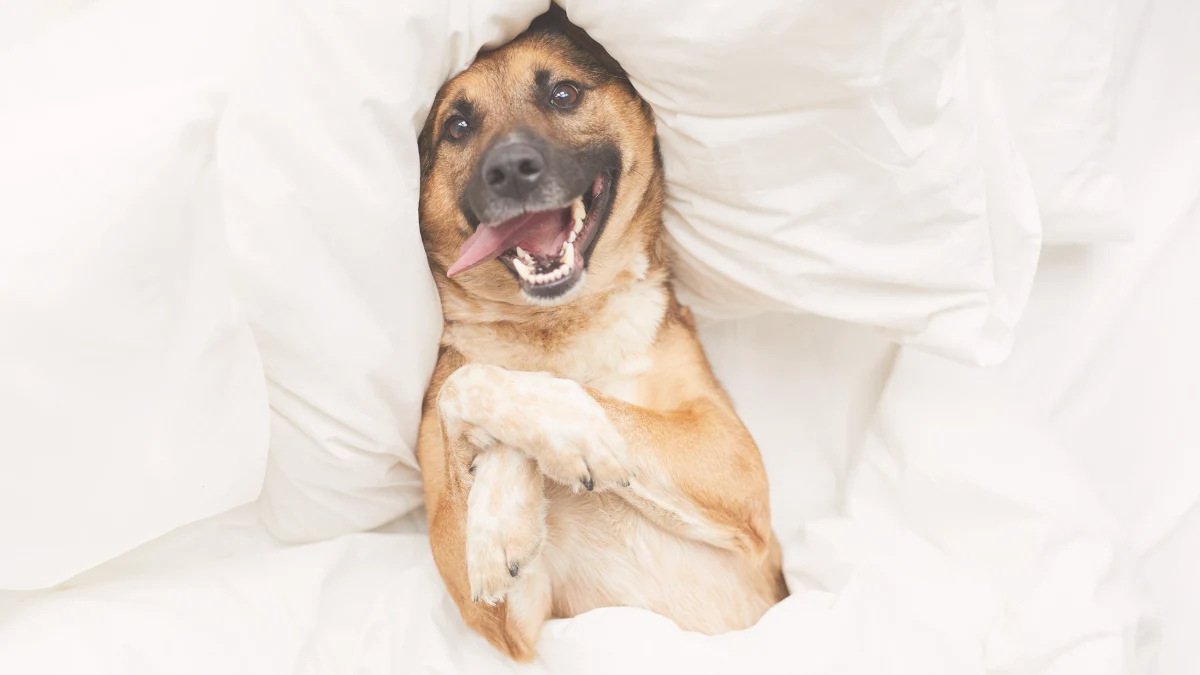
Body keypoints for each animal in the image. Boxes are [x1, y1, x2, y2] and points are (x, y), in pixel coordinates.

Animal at [416, 7, 787, 662]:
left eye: (563, 93)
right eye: (458, 126)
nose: (510, 170)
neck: (558, 328)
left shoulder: (735, 465)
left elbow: (577, 399)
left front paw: (569, 439)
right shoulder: (505, 621)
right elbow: (465, 382)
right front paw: (502, 519)